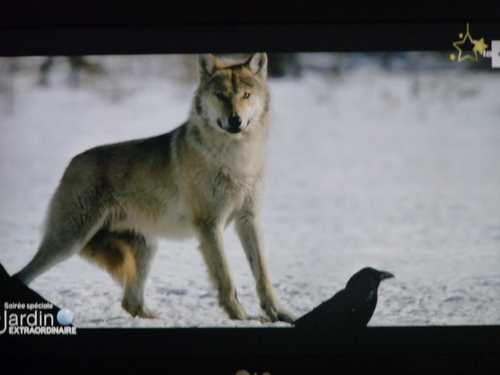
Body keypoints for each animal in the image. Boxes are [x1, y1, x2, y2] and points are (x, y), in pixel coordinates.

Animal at [12, 53, 292, 324]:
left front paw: (279, 314)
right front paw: (242, 317)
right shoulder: (209, 225)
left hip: (146, 249)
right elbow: (226, 278)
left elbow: (263, 275)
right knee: (22, 276)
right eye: (221, 95)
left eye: (246, 95)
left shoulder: (248, 220)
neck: (237, 158)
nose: (235, 120)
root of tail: (71, 163)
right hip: (69, 241)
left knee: (131, 302)